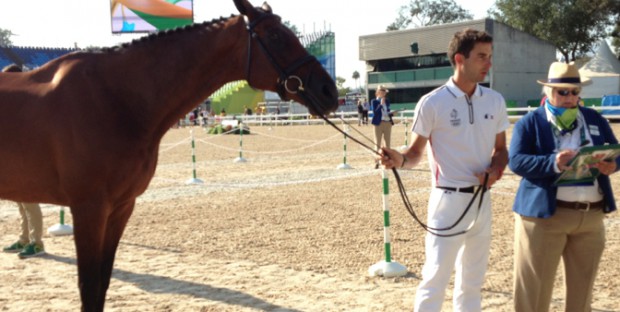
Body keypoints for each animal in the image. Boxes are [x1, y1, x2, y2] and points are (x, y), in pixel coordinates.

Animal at [0, 0, 336, 310]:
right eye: (276, 35)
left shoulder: (121, 207)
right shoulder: (89, 209)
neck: (114, 97)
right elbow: (89, 288)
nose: (329, 91)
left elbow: (103, 283)